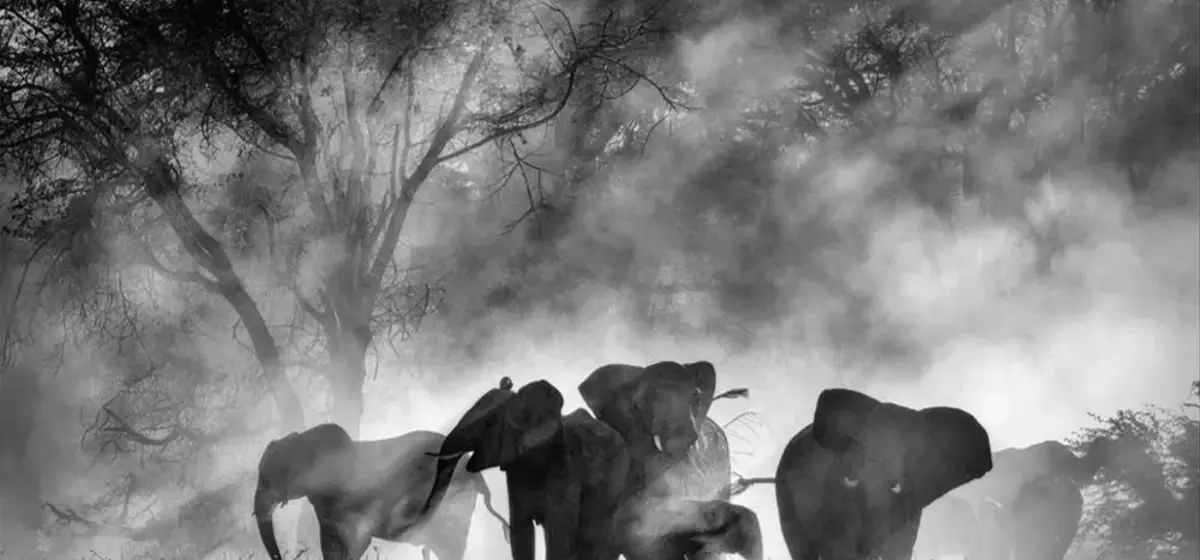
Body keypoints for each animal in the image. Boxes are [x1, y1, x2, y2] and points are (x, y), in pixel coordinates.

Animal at [423, 377, 631, 560]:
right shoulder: (516, 470)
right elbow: (520, 530)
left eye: (489, 424)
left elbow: (558, 534)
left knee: (594, 537)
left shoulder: (565, 465)